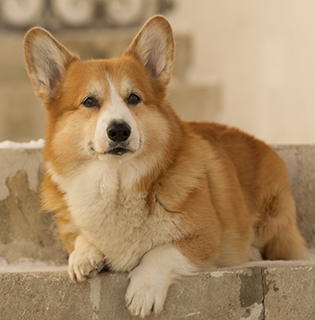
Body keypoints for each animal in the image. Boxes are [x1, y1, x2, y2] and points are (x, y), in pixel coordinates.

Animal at [24, 15, 308, 318]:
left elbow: (159, 253)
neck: (116, 182)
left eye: (134, 98)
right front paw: (83, 256)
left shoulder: (206, 236)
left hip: (274, 223)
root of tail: (257, 141)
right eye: (89, 101)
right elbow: (80, 237)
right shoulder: (71, 225)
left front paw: (144, 290)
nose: (119, 130)